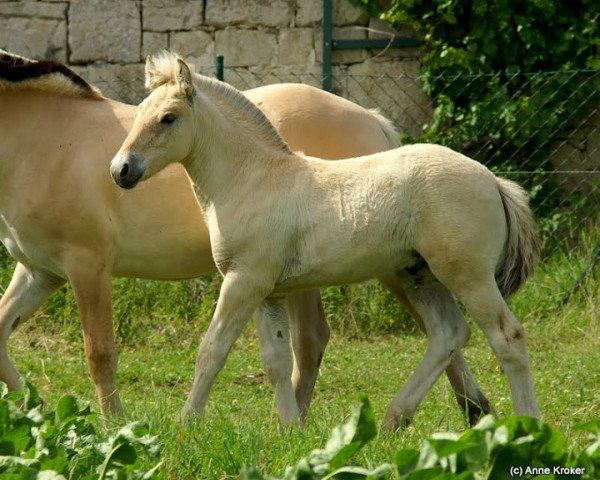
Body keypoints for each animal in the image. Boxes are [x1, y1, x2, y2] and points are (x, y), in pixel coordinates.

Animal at [0, 49, 488, 424]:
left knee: (434, 331)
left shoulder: (88, 267)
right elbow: (3, 335)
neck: (46, 141)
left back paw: (469, 410)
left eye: (167, 118)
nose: (120, 171)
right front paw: (34, 412)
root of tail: (372, 121)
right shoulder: (39, 271)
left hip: (393, 266)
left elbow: (100, 355)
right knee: (316, 341)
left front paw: (115, 427)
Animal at [110, 52, 540, 428]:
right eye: (140, 111)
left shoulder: (243, 282)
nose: (120, 169)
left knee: (508, 337)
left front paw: (184, 425)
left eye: (168, 118)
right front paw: (289, 430)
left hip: (467, 276)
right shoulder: (268, 291)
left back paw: (527, 425)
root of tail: (493, 180)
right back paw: (393, 420)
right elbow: (276, 361)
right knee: (447, 334)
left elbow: (212, 351)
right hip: (420, 276)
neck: (252, 178)